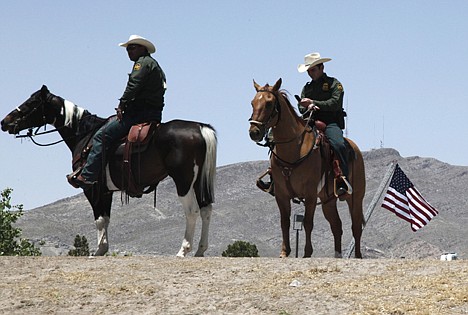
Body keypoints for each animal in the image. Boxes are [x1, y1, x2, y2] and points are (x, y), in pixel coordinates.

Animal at [1, 86, 218, 256]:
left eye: (31, 103)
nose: (4, 122)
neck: (85, 134)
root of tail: (200, 128)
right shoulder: (106, 190)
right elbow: (105, 219)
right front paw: (102, 249)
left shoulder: (92, 188)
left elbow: (99, 219)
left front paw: (98, 250)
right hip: (198, 181)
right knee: (206, 209)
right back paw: (200, 250)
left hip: (183, 180)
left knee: (192, 211)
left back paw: (183, 250)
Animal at [249, 79, 366, 260]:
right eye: (252, 103)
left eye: (269, 103)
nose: (254, 132)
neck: (294, 149)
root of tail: (355, 149)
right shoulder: (281, 195)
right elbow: (284, 222)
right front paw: (284, 252)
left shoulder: (310, 194)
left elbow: (308, 223)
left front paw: (307, 253)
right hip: (327, 201)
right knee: (337, 226)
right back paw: (337, 255)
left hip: (355, 198)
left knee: (356, 226)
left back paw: (358, 256)